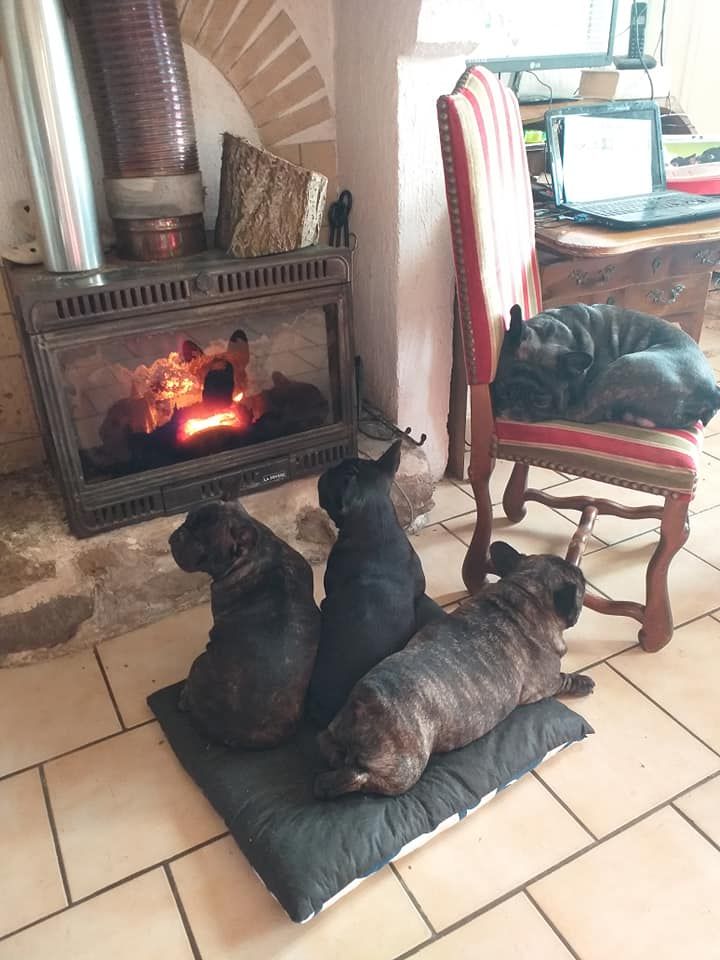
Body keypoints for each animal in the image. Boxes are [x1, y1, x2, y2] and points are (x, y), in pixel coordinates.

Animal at [170, 502, 320, 752]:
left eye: (201, 543)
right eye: (187, 519)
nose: (178, 535)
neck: (258, 552)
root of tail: (234, 737)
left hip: (198, 664)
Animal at [314, 544, 592, 800]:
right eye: (581, 586)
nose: (583, 574)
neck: (523, 595)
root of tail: (363, 705)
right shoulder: (546, 683)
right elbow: (564, 680)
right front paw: (583, 682)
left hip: (335, 730)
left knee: (328, 746)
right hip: (404, 771)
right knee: (362, 777)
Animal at [490, 304, 720, 428]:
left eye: (541, 401)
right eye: (501, 389)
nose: (515, 406)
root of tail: (711, 391)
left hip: (624, 366)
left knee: (581, 413)